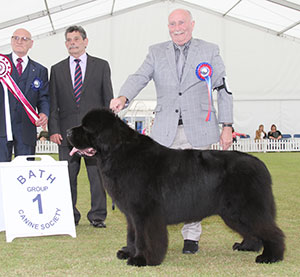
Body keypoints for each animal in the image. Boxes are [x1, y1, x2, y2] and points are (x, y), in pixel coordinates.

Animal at [67, 108, 284, 266]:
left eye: (86, 128)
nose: (68, 131)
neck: (118, 151)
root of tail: (260, 165)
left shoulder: (145, 212)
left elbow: (145, 236)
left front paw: (142, 259)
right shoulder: (132, 214)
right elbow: (133, 235)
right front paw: (128, 252)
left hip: (246, 207)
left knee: (271, 230)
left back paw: (270, 256)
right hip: (232, 212)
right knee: (252, 230)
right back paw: (248, 246)